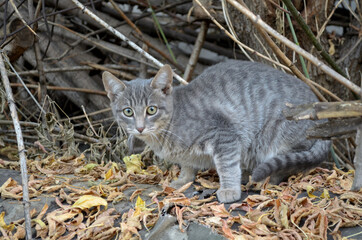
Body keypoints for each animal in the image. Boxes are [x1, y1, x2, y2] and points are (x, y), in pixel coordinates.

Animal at [102, 60, 330, 202]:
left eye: (151, 110)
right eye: (128, 111)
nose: (140, 127)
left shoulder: (225, 135)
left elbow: (227, 166)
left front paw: (229, 189)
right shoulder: (188, 153)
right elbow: (187, 165)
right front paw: (183, 179)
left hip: (281, 138)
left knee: (287, 166)